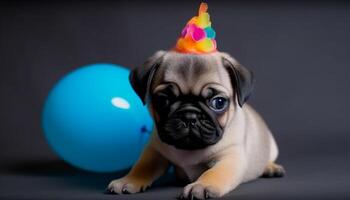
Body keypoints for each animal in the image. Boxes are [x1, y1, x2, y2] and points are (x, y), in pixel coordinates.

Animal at [106, 49, 284, 198]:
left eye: (219, 102)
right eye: (163, 100)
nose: (189, 115)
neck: (189, 150)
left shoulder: (230, 158)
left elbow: (214, 173)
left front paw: (202, 185)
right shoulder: (154, 151)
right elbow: (142, 166)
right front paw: (128, 179)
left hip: (272, 146)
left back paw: (270, 168)